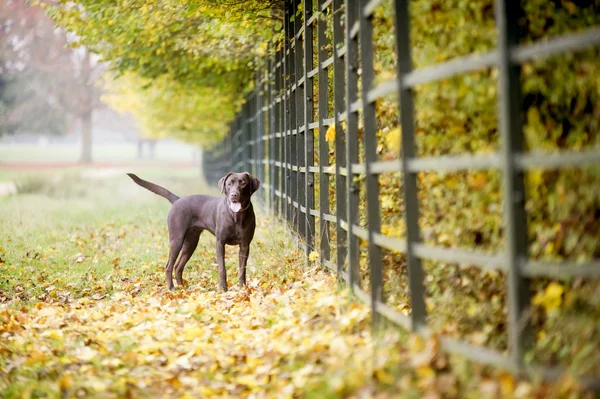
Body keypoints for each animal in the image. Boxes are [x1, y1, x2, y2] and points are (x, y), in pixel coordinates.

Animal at [127, 173, 258, 292]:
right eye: (229, 184)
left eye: (243, 183)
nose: (234, 195)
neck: (236, 216)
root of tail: (177, 200)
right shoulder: (220, 243)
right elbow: (222, 268)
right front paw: (222, 288)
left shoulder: (245, 245)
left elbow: (242, 268)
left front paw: (243, 288)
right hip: (177, 240)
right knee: (169, 266)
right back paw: (171, 288)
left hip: (191, 243)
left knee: (178, 266)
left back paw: (182, 286)